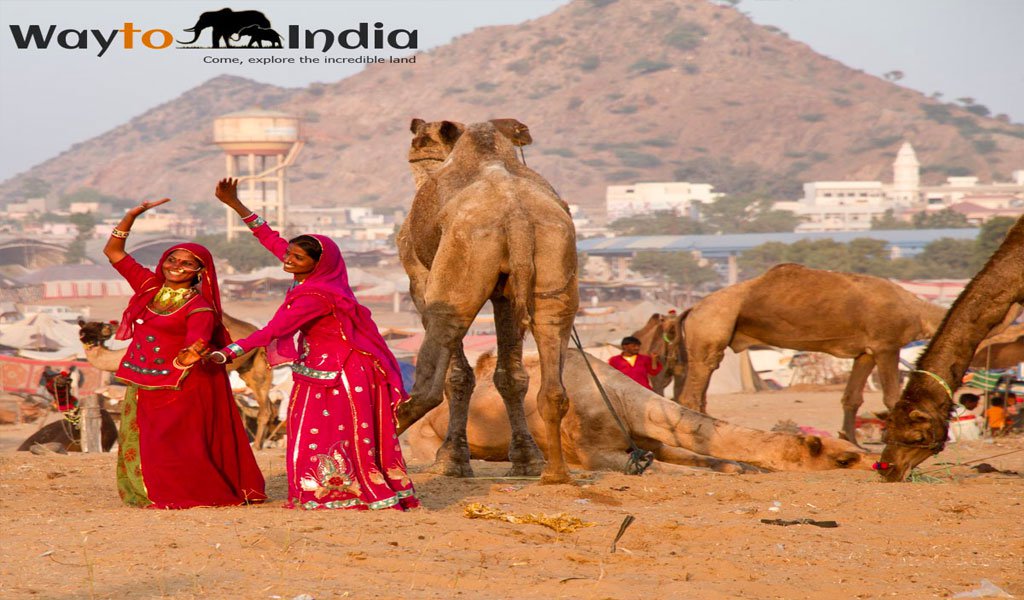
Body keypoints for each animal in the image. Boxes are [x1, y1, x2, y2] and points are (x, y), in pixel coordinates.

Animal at [76, 315, 276, 446]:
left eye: (98, 327)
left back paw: (254, 446)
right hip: (250, 367)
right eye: (82, 331)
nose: (108, 329)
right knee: (267, 406)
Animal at [395, 116, 581, 481]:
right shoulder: (506, 294)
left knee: (441, 343)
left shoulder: (419, 276)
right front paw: (526, 460)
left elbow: (458, 374)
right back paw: (554, 473)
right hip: (555, 256)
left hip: (464, 255)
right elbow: (511, 376)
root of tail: (517, 217)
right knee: (552, 345)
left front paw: (451, 461)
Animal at [403, 350, 876, 470]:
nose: (878, 466)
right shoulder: (595, 453)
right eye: (844, 458)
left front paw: (743, 468)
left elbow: (693, 457)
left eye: (855, 451)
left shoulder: (652, 437)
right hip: (423, 438)